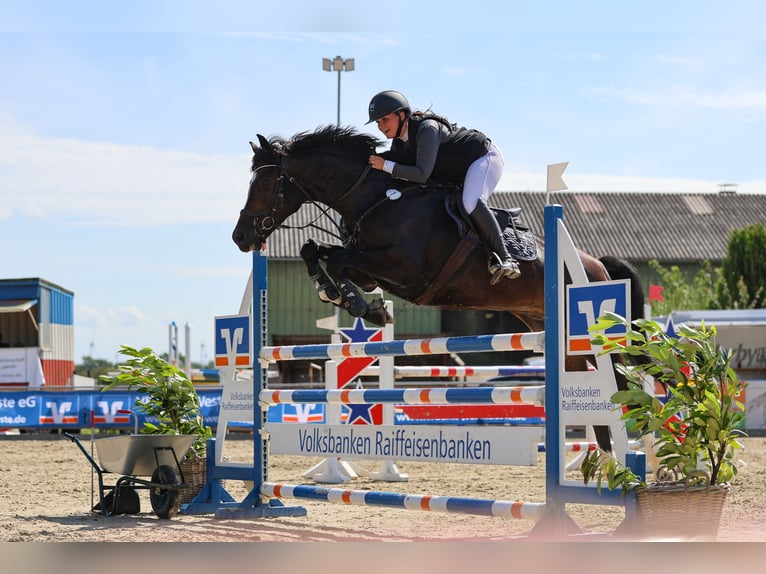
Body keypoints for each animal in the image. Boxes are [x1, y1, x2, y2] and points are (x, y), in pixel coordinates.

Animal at [232, 126, 648, 460]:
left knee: (620, 378)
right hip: (557, 335)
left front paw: (360, 305)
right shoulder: (371, 267)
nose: (241, 237)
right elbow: (313, 250)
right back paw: (605, 460)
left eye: (265, 184)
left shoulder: (403, 269)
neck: (377, 197)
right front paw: (342, 296)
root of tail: (596, 264)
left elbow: (337, 261)